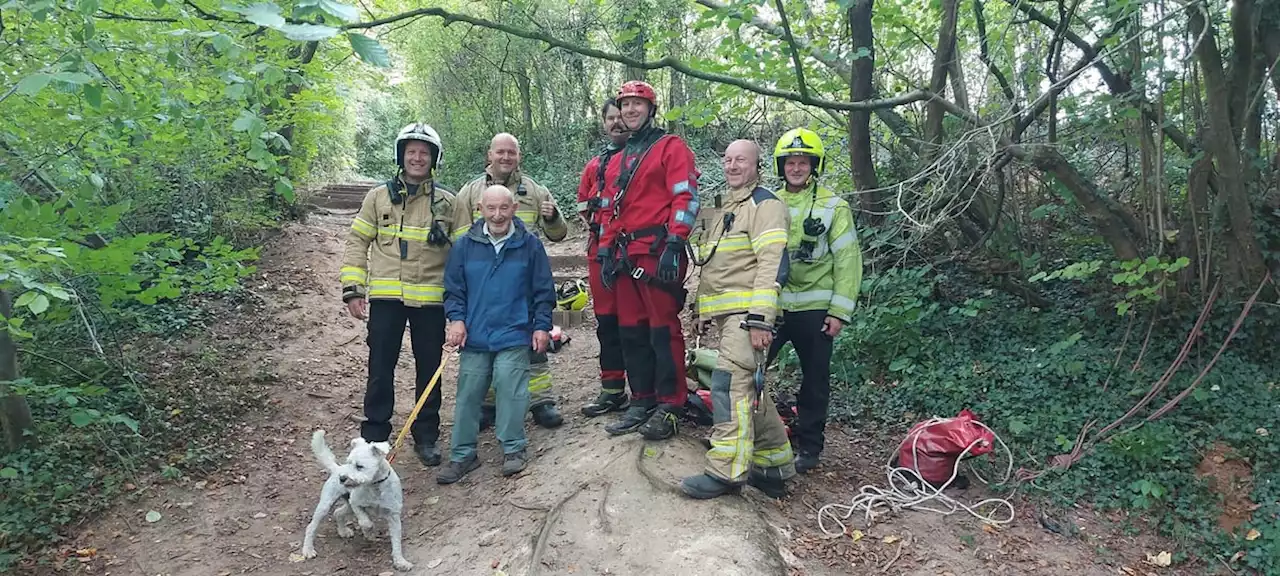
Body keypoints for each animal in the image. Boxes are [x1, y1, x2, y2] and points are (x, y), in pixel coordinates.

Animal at [302, 430, 412, 568]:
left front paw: (400, 561)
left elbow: (396, 541)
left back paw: (343, 531)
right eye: (349, 462)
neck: (375, 487)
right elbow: (366, 522)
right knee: (311, 527)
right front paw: (368, 532)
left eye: (359, 466)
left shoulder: (394, 515)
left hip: (348, 506)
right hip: (326, 505)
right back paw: (308, 550)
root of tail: (337, 468)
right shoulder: (356, 504)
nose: (342, 478)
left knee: (337, 513)